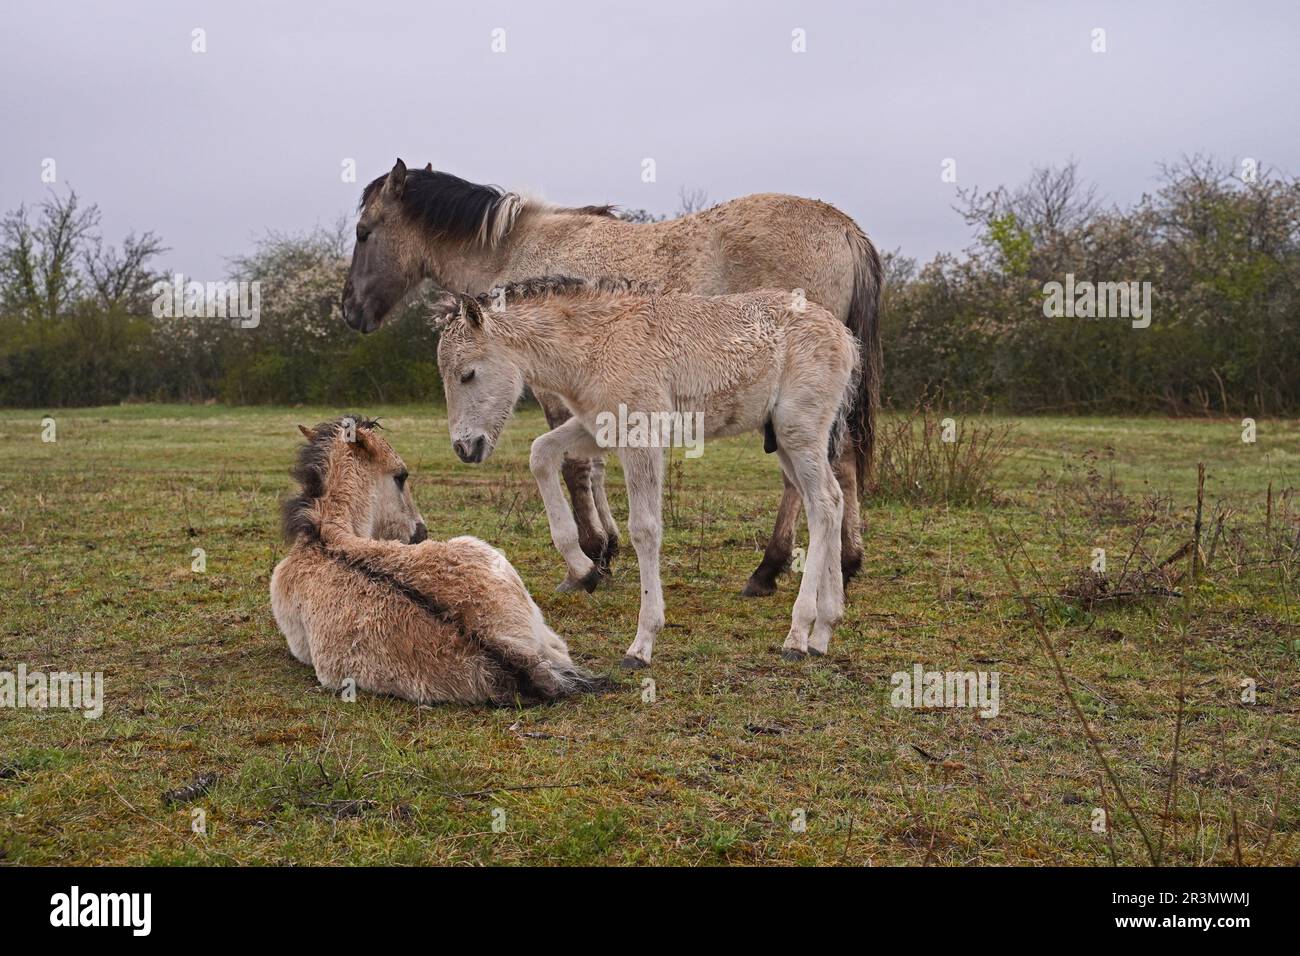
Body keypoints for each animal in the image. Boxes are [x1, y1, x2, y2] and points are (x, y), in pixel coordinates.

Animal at [341, 159, 882, 599]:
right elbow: (593, 466)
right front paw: (608, 547)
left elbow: (575, 469)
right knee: (843, 461)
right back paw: (844, 563)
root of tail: (846, 229)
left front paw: (590, 559)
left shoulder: (554, 391)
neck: (514, 250)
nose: (349, 311)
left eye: (364, 232)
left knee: (806, 478)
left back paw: (770, 569)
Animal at [431, 278, 859, 669]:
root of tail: (844, 335)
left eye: (467, 374)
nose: (465, 448)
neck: (595, 342)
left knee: (822, 504)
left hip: (797, 431)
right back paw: (824, 630)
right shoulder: (596, 429)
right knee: (831, 500)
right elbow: (541, 454)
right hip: (785, 441)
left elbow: (645, 529)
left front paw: (642, 643)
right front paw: (584, 570)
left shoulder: (641, 436)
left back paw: (798, 633)